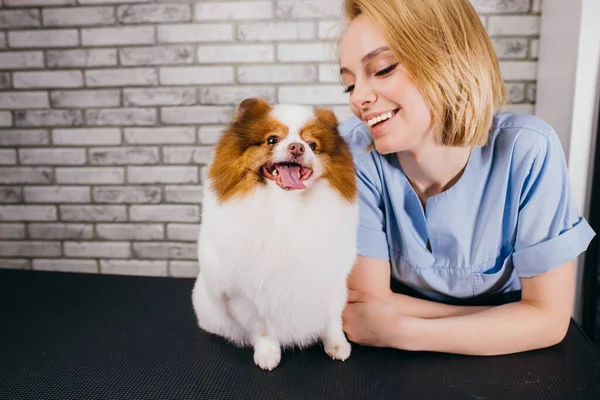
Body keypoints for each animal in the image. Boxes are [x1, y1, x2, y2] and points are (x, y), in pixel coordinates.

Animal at [191, 97, 356, 372]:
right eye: (272, 139)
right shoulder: (247, 293)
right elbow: (262, 329)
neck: (287, 206)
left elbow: (333, 319)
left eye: (313, 145)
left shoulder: (330, 280)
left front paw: (337, 345)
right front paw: (268, 354)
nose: (297, 147)